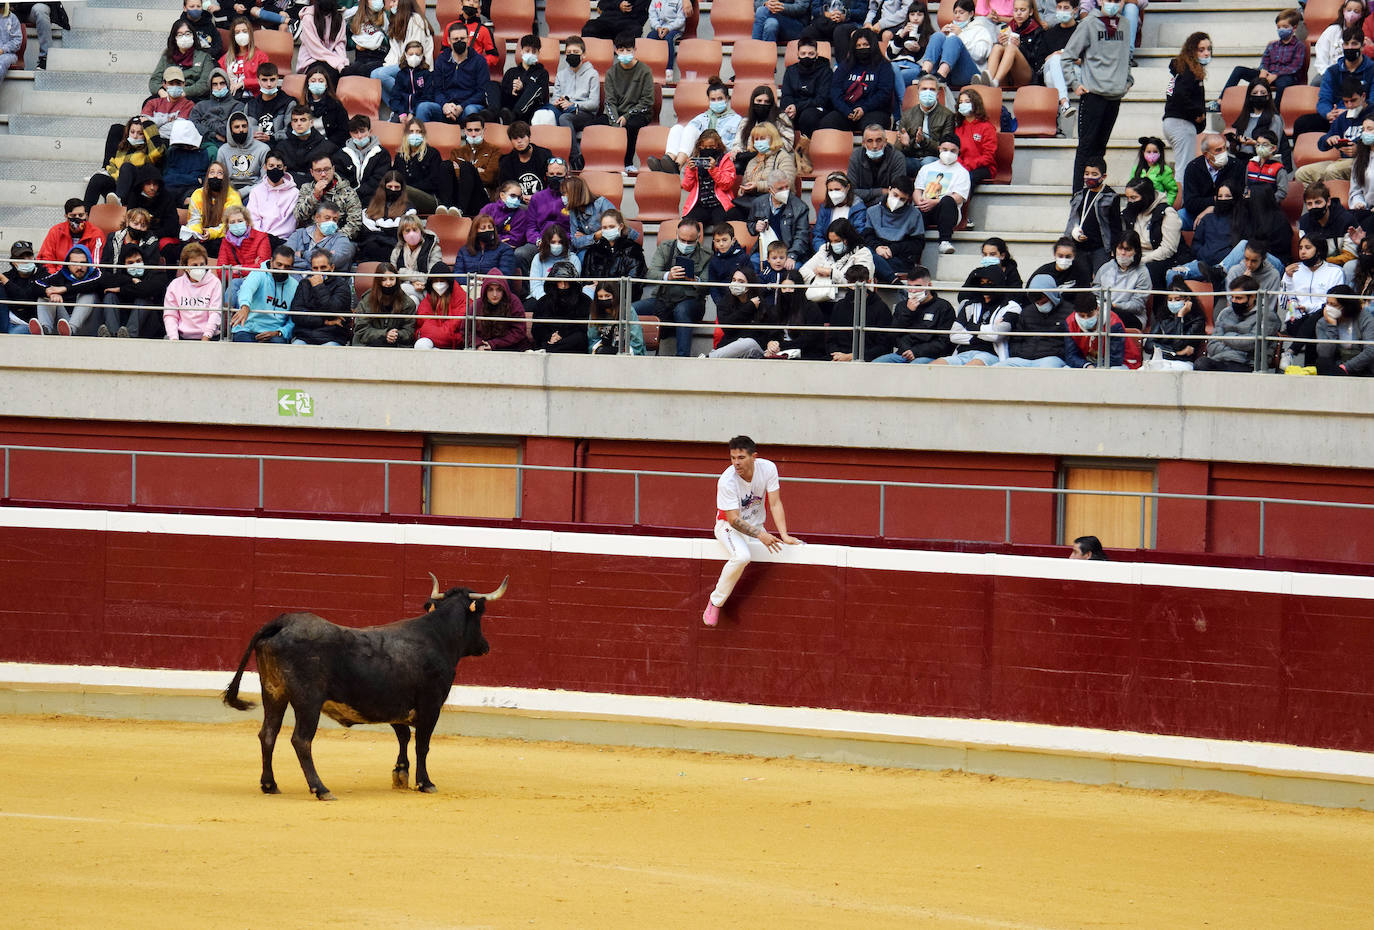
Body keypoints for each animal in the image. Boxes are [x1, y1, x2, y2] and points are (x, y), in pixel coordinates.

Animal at [222, 574, 508, 796]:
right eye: (480, 616)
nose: (485, 646)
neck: (436, 636)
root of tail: (282, 622)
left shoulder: (395, 706)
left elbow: (403, 736)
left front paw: (400, 774)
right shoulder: (431, 705)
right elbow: (422, 744)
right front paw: (425, 782)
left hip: (273, 692)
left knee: (268, 734)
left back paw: (270, 785)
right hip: (308, 701)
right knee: (301, 740)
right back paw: (320, 789)